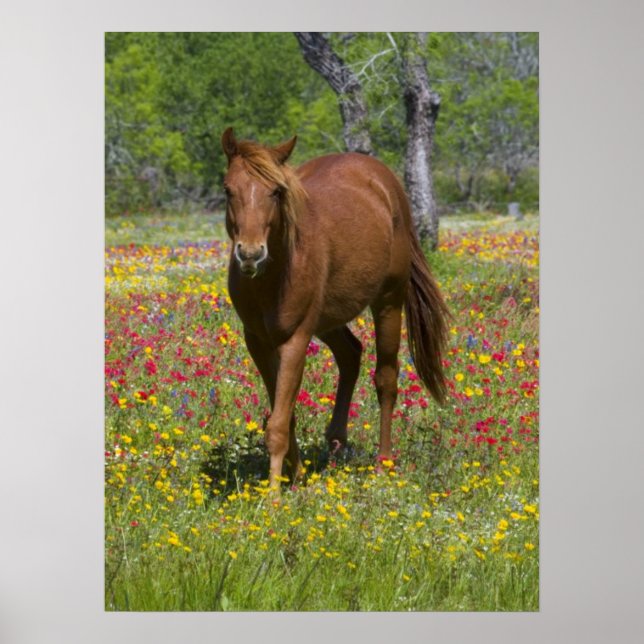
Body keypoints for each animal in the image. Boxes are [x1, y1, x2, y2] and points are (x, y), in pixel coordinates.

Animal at [221, 128, 449, 493]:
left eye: (276, 191)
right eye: (228, 189)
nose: (251, 254)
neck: (273, 276)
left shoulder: (295, 340)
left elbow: (278, 424)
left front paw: (273, 497)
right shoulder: (257, 342)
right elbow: (285, 414)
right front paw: (295, 475)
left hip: (388, 303)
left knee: (386, 379)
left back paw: (383, 465)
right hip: (329, 320)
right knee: (351, 354)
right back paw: (336, 440)